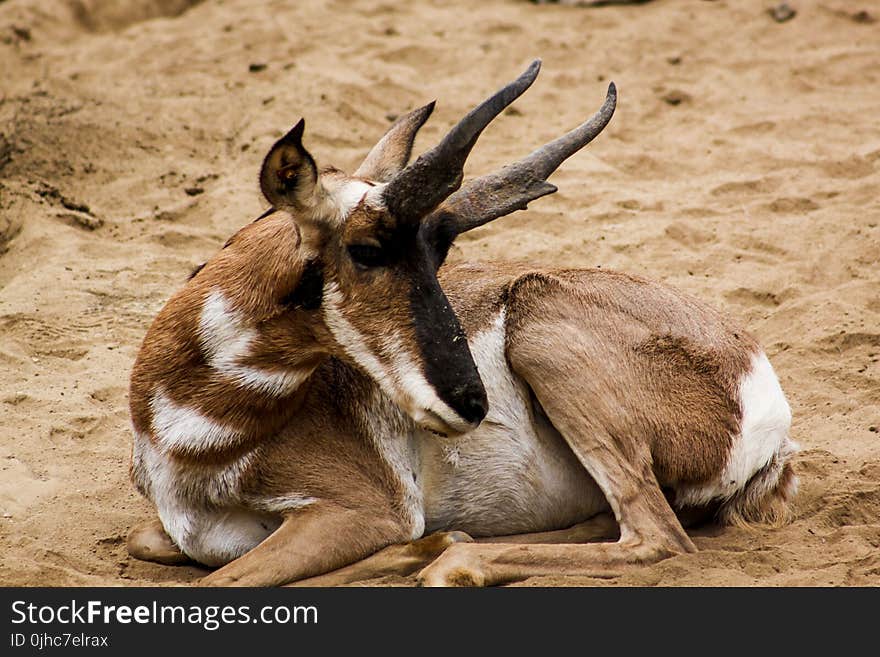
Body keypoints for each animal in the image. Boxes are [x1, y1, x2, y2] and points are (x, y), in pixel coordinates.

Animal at [129, 60, 796, 584]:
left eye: (439, 254)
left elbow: (225, 580)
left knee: (657, 537)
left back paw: (453, 560)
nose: (472, 403)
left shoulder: (364, 512)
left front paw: (427, 548)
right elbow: (153, 544)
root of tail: (754, 375)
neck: (187, 432)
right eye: (367, 250)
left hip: (541, 332)